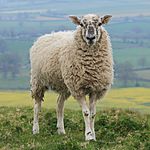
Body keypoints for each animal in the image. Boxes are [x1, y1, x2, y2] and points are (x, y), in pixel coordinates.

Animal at [30, 13, 113, 141]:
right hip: (38, 81)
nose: (90, 38)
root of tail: (45, 36)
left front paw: (94, 136)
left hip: (65, 85)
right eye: (82, 24)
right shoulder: (78, 89)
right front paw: (88, 135)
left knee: (59, 104)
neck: (91, 65)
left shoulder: (95, 89)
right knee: (37, 106)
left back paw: (61, 130)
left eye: (99, 24)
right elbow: (86, 112)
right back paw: (35, 130)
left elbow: (93, 114)